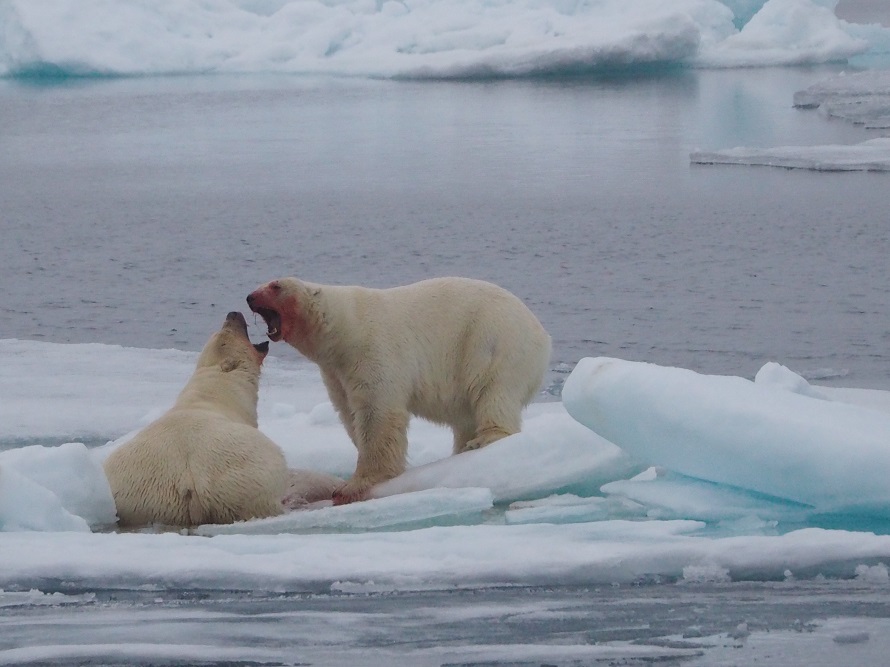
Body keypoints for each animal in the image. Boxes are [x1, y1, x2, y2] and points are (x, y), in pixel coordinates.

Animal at [102, 312, 342, 528]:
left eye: (218, 331)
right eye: (226, 334)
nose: (233, 314)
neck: (213, 394)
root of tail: (190, 484)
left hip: (147, 504)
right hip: (247, 485)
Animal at [245, 278, 548, 506]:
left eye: (276, 286)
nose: (249, 296)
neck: (345, 326)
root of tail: (544, 337)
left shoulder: (372, 348)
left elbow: (377, 411)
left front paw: (353, 485)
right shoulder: (336, 372)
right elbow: (348, 412)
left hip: (492, 341)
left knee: (492, 390)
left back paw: (484, 439)